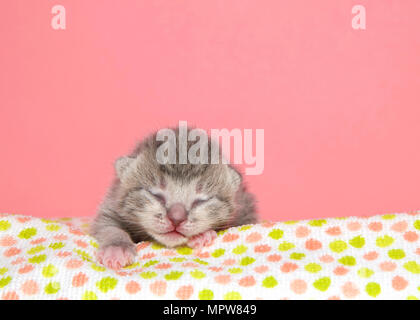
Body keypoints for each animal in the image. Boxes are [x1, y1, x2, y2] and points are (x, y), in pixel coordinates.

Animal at [90, 126, 258, 268]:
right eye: (155, 194)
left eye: (201, 200)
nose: (176, 219)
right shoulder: (111, 205)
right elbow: (108, 227)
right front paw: (116, 249)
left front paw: (201, 235)